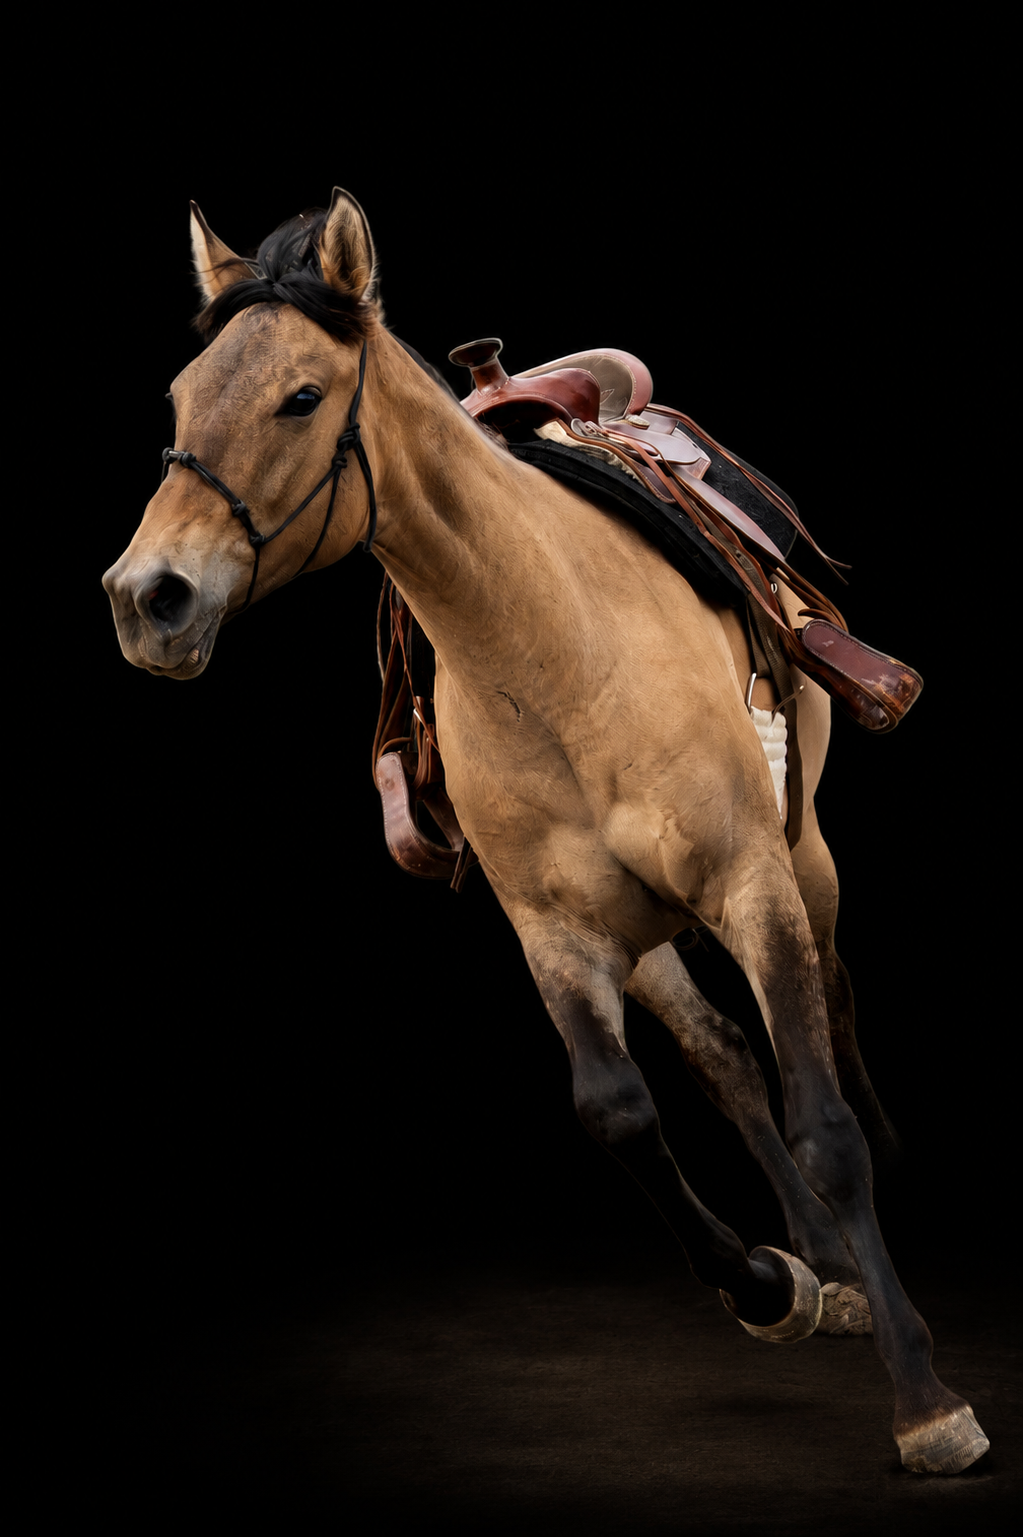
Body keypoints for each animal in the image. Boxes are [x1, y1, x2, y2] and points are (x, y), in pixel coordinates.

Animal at [102, 187, 988, 1476]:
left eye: (301, 397)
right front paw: (772, 1283)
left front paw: (925, 1397)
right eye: (177, 399)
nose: (146, 597)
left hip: (804, 852)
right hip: (652, 928)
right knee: (725, 1054)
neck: (551, 647)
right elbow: (617, 1111)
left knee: (827, 1009)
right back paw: (825, 1267)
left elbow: (822, 1120)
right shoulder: (557, 935)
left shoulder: (750, 879)